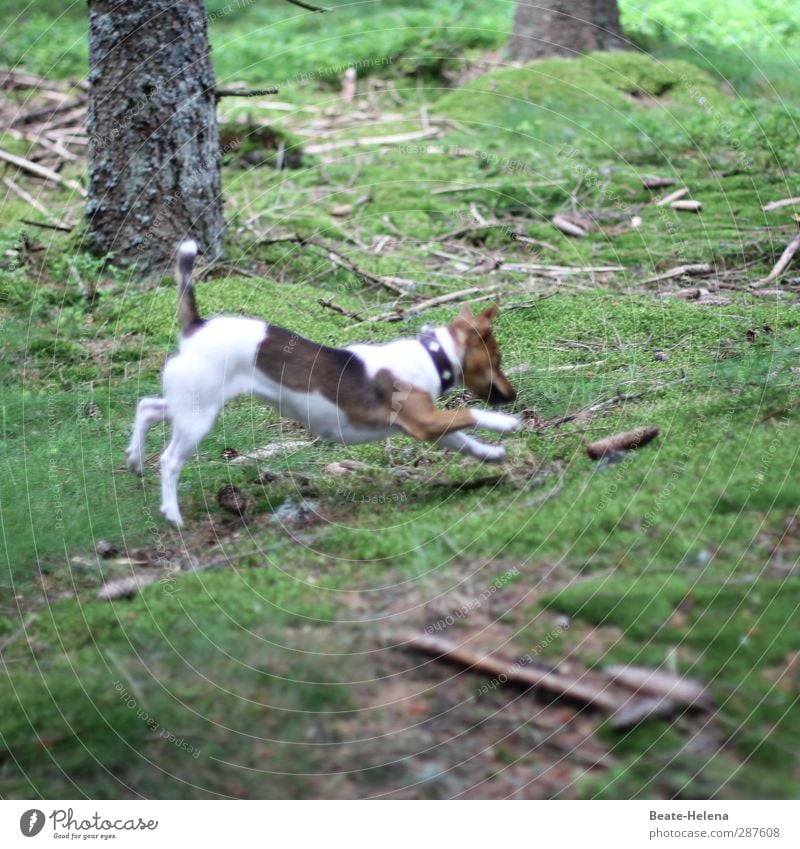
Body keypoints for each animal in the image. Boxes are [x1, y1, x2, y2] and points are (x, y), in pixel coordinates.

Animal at [126, 238, 520, 524]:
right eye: (498, 361)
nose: (513, 395)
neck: (432, 354)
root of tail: (196, 327)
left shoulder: (431, 426)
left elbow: (465, 441)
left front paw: (491, 454)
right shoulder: (424, 421)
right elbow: (470, 414)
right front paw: (506, 423)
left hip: (191, 402)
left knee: (147, 407)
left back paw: (134, 458)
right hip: (199, 415)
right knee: (169, 461)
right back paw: (172, 513)